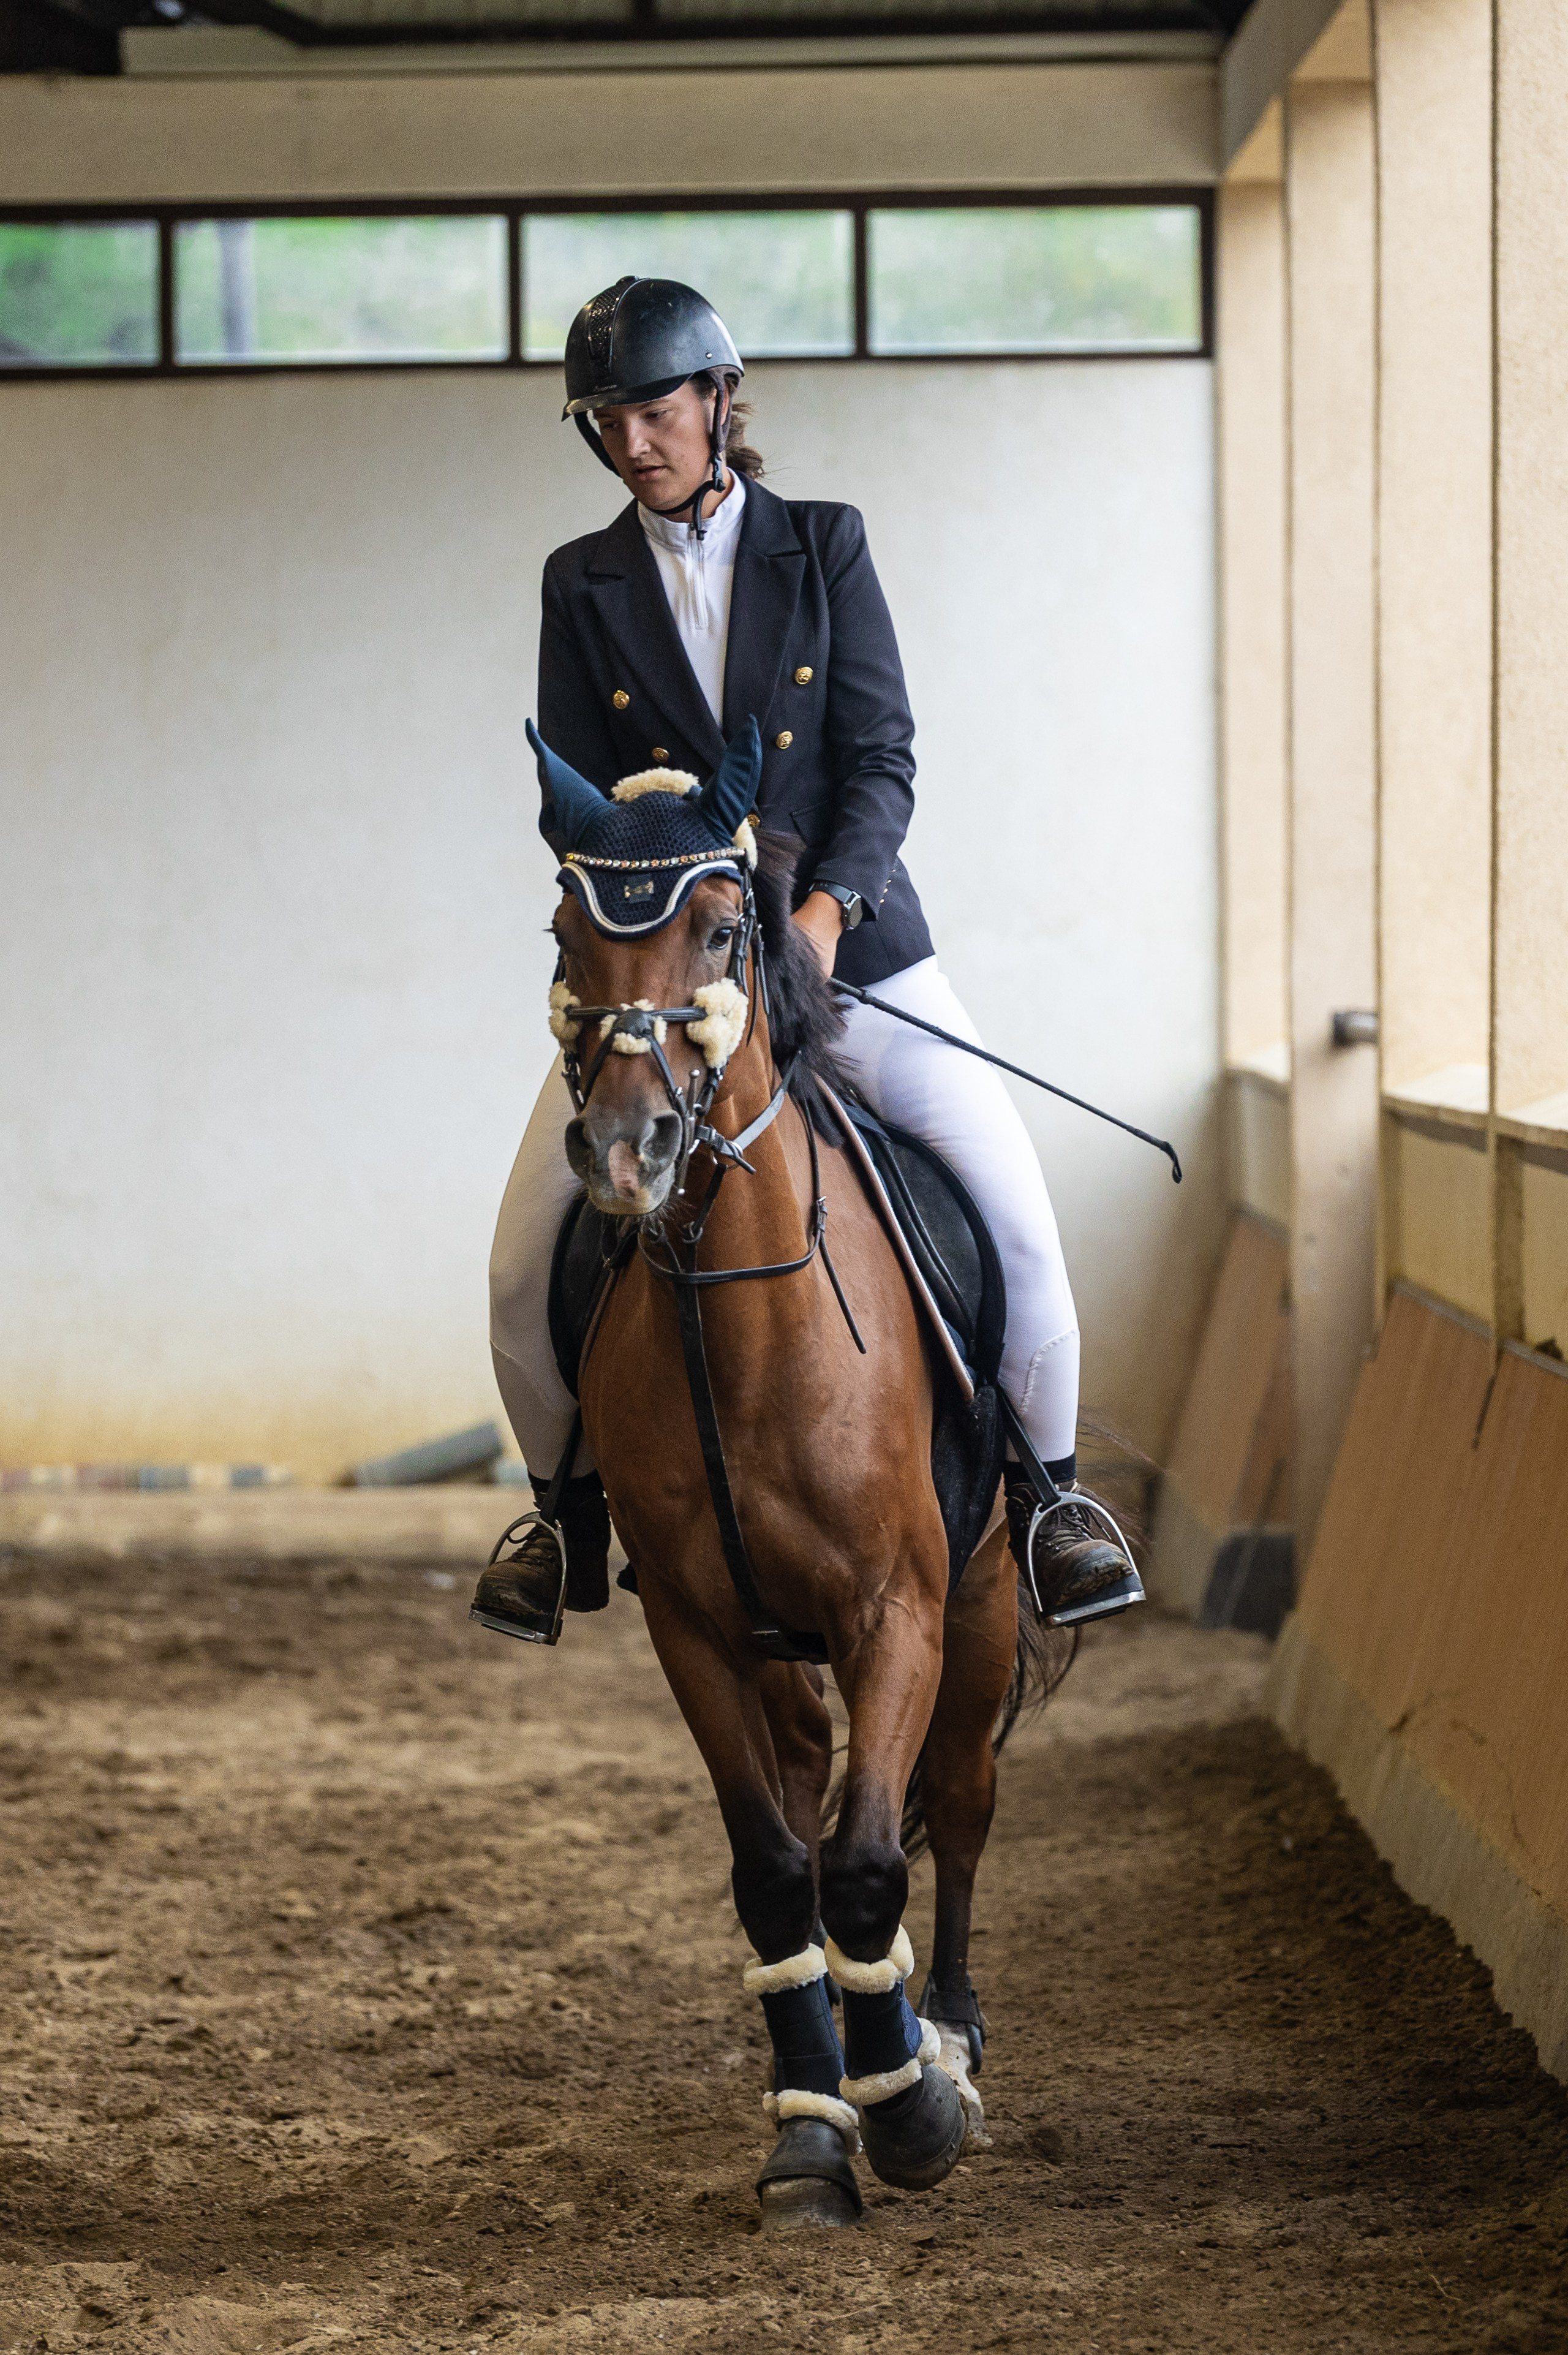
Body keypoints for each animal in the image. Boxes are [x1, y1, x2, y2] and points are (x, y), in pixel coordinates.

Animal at [525, 728, 1065, 2229]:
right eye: (562, 936)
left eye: (723, 929)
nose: (626, 1150)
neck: (736, 1315)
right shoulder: (695, 1627)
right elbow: (777, 1873)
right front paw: (815, 2134)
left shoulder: (900, 1610)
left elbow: (876, 1861)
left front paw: (914, 2109)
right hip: (781, 1650)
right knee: (815, 1811)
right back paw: (828, 2074)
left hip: (984, 1599)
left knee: (960, 1802)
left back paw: (947, 2034)